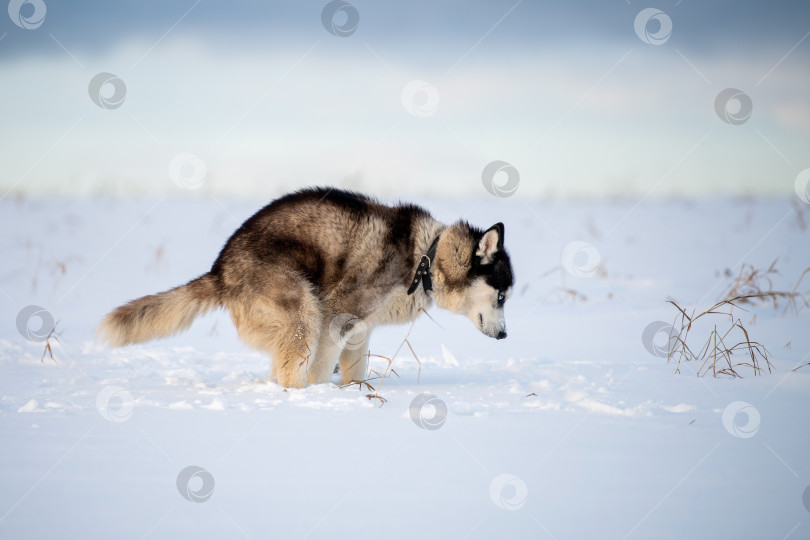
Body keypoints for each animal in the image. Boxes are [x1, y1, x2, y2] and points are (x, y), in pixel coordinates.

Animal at [96, 188, 512, 386]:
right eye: (502, 295)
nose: (506, 335)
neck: (425, 257)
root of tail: (220, 269)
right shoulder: (337, 321)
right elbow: (321, 369)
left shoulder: (360, 331)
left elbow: (355, 370)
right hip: (303, 312)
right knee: (293, 365)